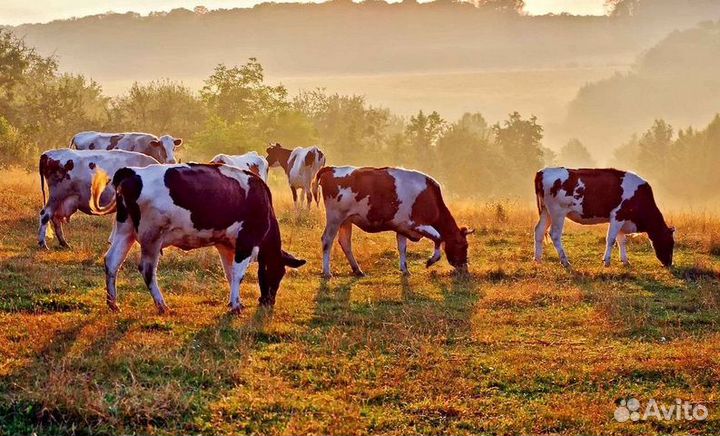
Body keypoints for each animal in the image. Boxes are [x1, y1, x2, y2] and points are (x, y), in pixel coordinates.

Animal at [88, 164, 306, 314]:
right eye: (278, 273)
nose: (269, 302)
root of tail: (132, 172)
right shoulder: (246, 242)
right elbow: (238, 275)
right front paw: (236, 306)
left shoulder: (226, 245)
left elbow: (229, 274)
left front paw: (234, 301)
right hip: (152, 236)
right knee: (147, 270)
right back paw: (161, 305)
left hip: (126, 231)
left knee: (112, 262)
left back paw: (113, 303)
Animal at [314, 165, 472, 278]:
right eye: (464, 245)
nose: (465, 268)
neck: (430, 198)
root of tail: (331, 168)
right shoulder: (417, 224)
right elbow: (438, 237)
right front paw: (430, 261)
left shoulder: (402, 227)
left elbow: (402, 247)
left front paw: (405, 269)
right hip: (335, 218)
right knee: (327, 240)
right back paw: (327, 272)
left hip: (346, 221)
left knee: (345, 242)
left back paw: (357, 270)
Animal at [536, 168, 676, 268]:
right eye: (670, 242)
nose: (669, 264)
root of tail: (543, 171)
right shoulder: (618, 215)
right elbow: (611, 239)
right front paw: (607, 262)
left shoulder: (620, 219)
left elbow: (621, 240)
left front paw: (625, 261)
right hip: (558, 212)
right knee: (554, 234)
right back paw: (565, 262)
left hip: (545, 211)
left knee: (539, 231)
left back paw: (538, 259)